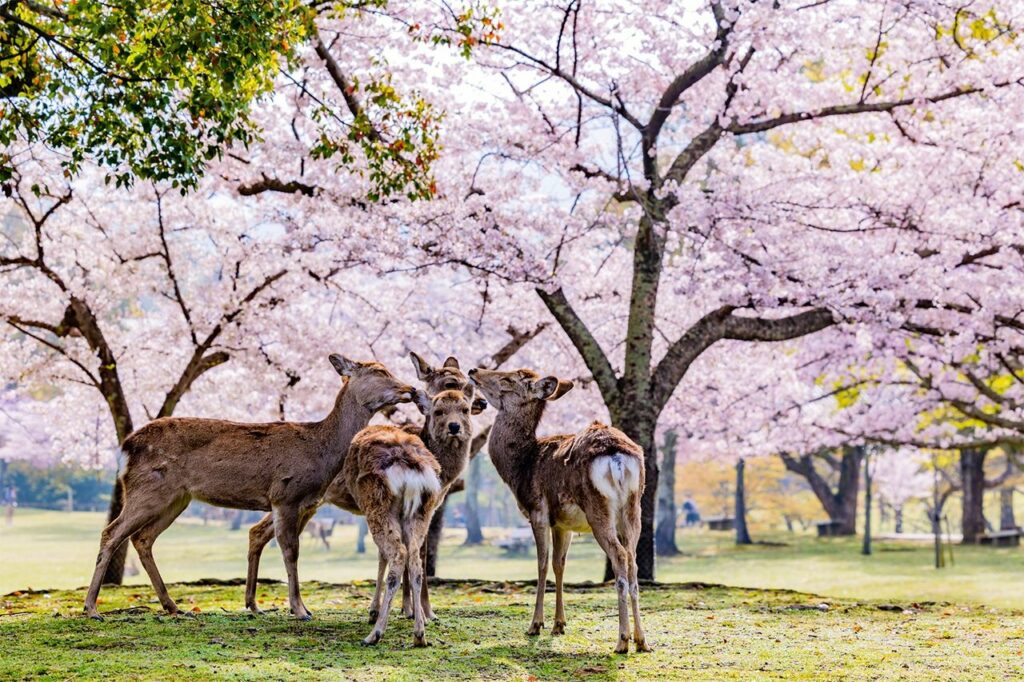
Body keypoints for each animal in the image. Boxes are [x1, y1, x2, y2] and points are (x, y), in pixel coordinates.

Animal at [81, 356, 413, 622]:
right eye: (379, 371)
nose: (409, 389)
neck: (321, 449)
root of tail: (125, 448)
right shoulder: (285, 495)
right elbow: (290, 550)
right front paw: (300, 610)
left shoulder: (304, 502)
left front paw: (291, 607)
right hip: (148, 489)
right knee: (112, 532)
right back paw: (92, 609)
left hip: (176, 498)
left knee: (143, 537)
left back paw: (173, 606)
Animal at [240, 350, 483, 610]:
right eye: (450, 382)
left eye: (468, 383)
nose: (481, 402)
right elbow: (417, 552)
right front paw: (417, 610)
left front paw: (409, 608)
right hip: (293, 498)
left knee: (257, 532)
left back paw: (252, 602)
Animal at [339, 385, 475, 647]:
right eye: (439, 411)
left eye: (466, 409)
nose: (455, 427)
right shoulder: (431, 507)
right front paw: (413, 611)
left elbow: (382, 556)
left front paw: (378, 611)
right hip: (418, 509)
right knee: (413, 559)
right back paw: (419, 634)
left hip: (377, 504)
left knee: (399, 554)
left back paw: (375, 633)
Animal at [468, 364, 651, 651]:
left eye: (507, 379)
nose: (473, 370)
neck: (521, 466)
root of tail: (617, 457)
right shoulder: (564, 524)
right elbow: (559, 564)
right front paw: (559, 625)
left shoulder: (537, 511)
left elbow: (542, 564)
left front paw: (535, 625)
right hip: (633, 509)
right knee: (632, 560)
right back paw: (641, 640)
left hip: (598, 507)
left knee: (620, 556)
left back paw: (622, 641)